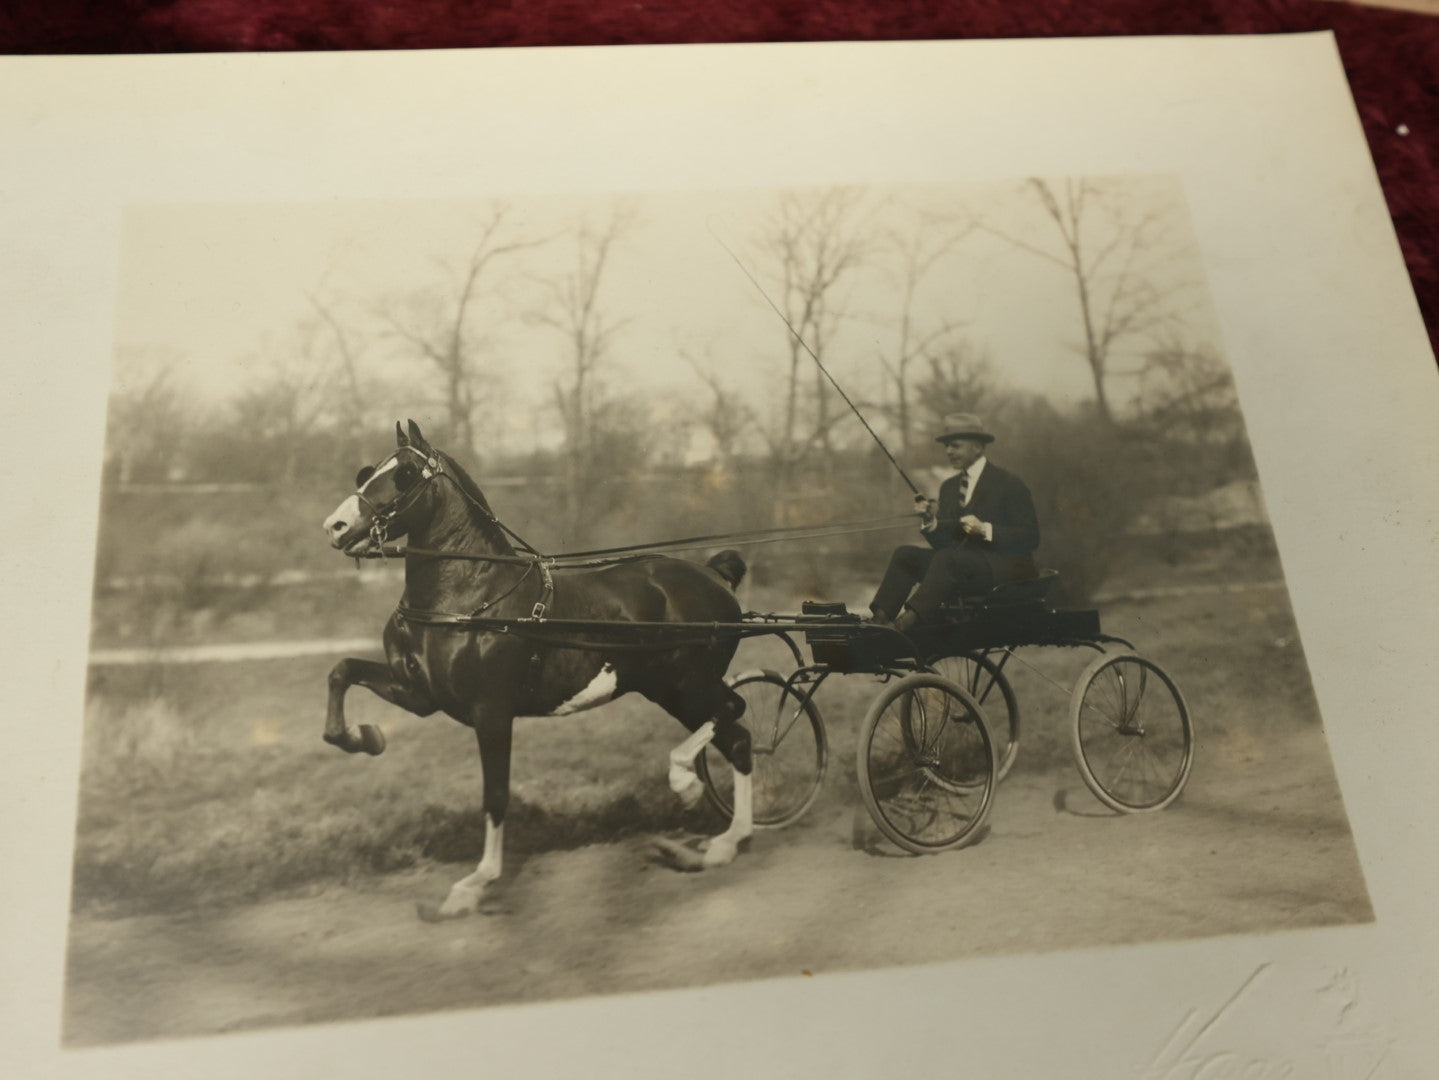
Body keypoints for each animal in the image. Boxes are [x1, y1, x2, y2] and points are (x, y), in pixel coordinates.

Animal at [320, 422, 754, 920]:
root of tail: (713, 575)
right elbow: (341, 672)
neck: (471, 600)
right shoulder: (418, 692)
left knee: (734, 714)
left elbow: (496, 795)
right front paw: (363, 736)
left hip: (689, 684)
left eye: (405, 474)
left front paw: (474, 883)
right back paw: (725, 842)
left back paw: (688, 786)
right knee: (736, 737)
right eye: (368, 470)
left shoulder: (491, 711)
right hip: (672, 691)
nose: (335, 526)